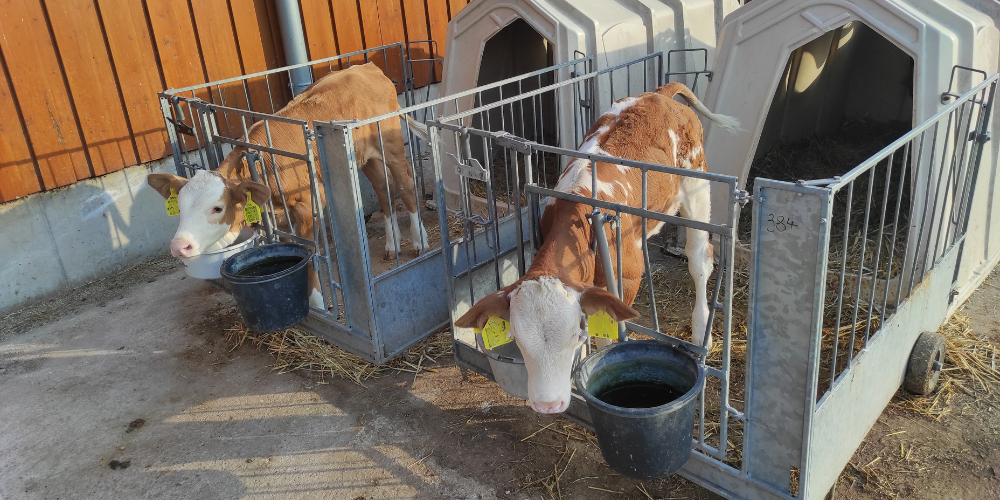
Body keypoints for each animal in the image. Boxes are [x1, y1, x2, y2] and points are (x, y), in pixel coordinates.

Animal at [147, 63, 430, 309]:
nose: (179, 246)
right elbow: (291, 247)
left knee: (405, 184)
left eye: (217, 208)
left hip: (391, 144)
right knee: (383, 187)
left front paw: (317, 303)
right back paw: (392, 245)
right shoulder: (278, 215)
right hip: (365, 156)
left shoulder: (308, 203)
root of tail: (367, 67)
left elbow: (310, 252)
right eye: (180, 207)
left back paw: (420, 242)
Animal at [454, 82, 739, 413]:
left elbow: (610, 335)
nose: (547, 405)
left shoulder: (627, 276)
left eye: (575, 336)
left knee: (699, 260)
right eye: (519, 340)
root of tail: (660, 94)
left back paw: (700, 328)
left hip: (697, 183)